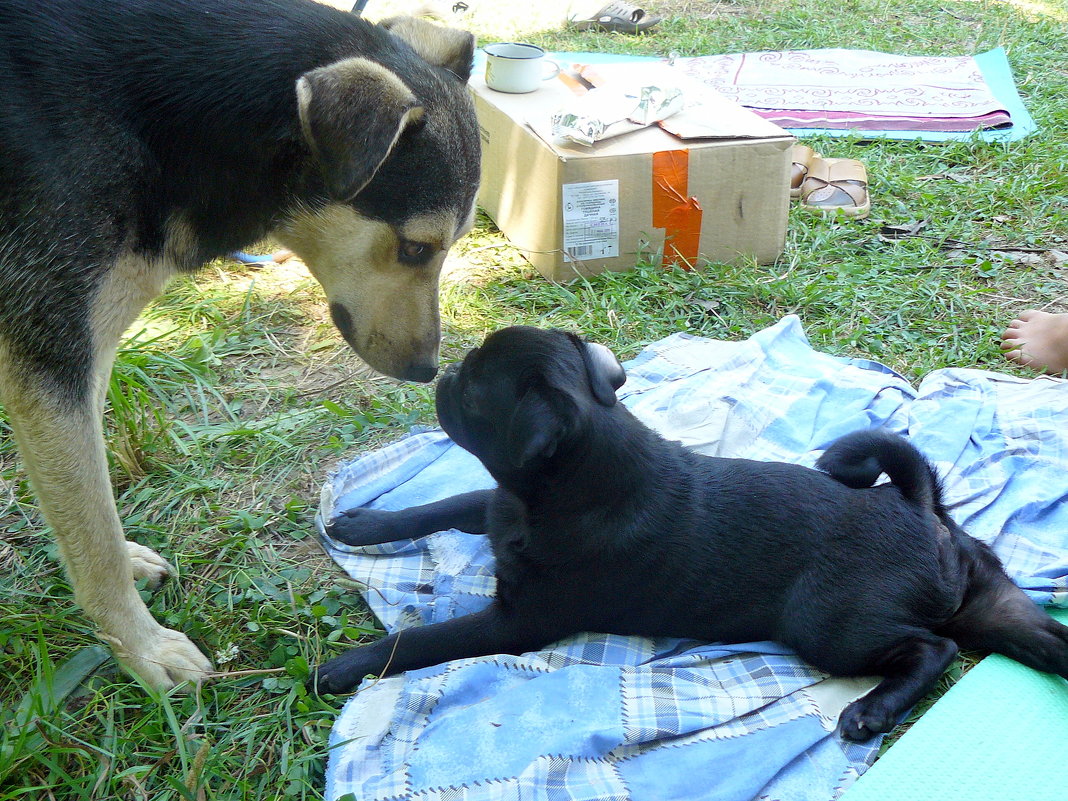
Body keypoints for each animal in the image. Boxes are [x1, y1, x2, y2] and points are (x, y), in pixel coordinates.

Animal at [0, 0, 478, 692]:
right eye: (416, 248)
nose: (427, 370)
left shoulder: (85, 352)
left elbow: (87, 509)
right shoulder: (48, 362)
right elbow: (92, 526)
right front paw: (142, 648)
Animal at [316, 328, 1068, 743]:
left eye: (475, 394)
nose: (444, 374)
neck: (561, 489)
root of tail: (918, 505)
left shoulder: (515, 622)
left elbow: (420, 640)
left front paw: (347, 666)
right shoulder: (492, 506)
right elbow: (441, 503)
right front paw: (365, 522)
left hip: (825, 622)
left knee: (933, 648)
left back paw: (872, 709)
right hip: (996, 603)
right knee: (1035, 639)